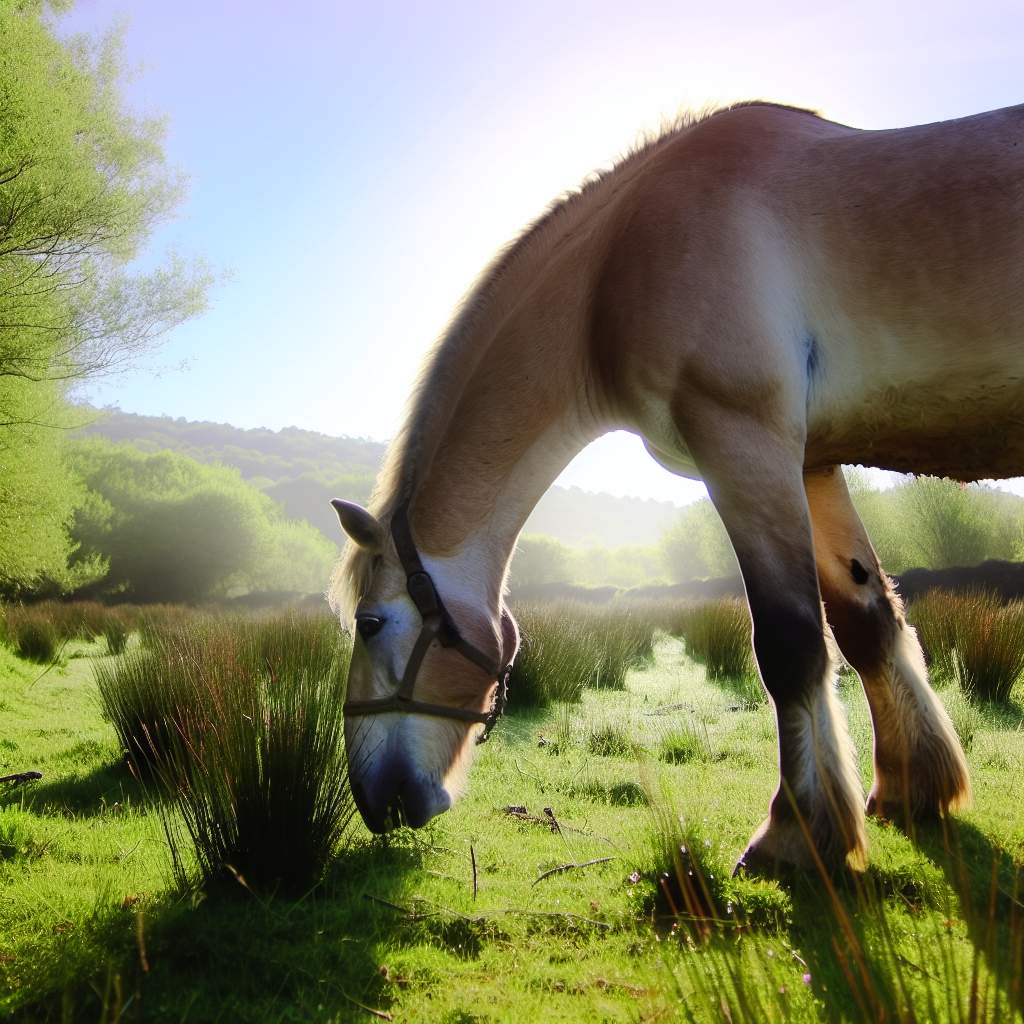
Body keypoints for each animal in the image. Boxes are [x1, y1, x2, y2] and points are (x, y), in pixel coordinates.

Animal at [329, 101, 1024, 872]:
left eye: (369, 623)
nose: (374, 801)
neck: (619, 258)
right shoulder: (809, 462)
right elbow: (866, 619)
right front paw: (911, 790)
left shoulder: (743, 443)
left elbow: (791, 646)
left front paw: (794, 835)